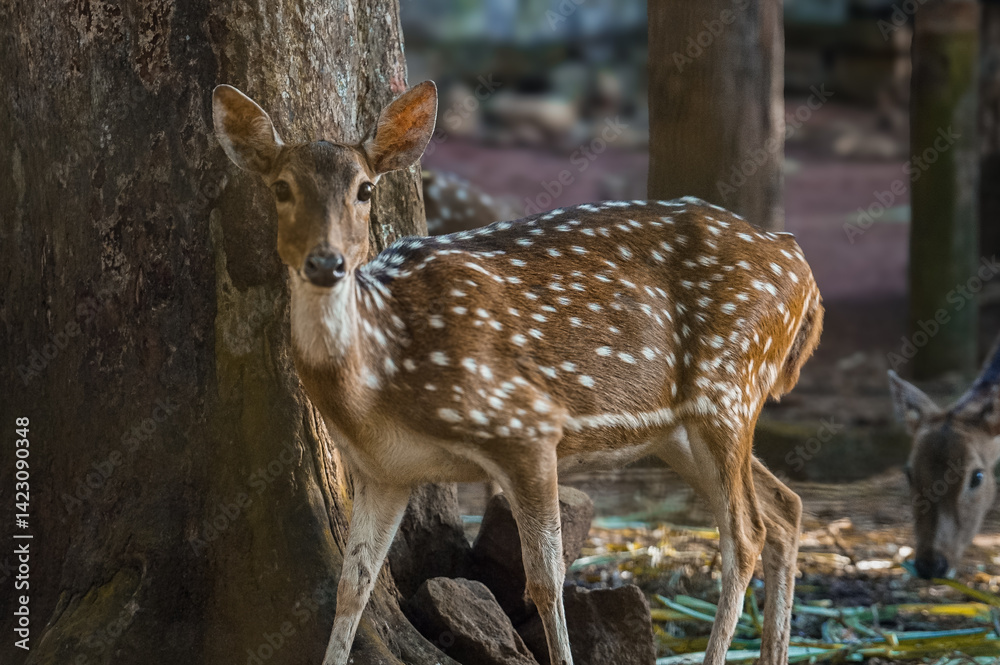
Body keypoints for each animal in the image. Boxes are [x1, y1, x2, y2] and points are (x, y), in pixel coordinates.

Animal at [212, 80, 824, 665]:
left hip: (730, 384)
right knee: (785, 509)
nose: (326, 262)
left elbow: (545, 580)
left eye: (364, 189)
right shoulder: (382, 470)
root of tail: (800, 263)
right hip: (678, 426)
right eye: (281, 187)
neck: (379, 384)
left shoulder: (525, 425)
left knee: (746, 532)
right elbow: (351, 586)